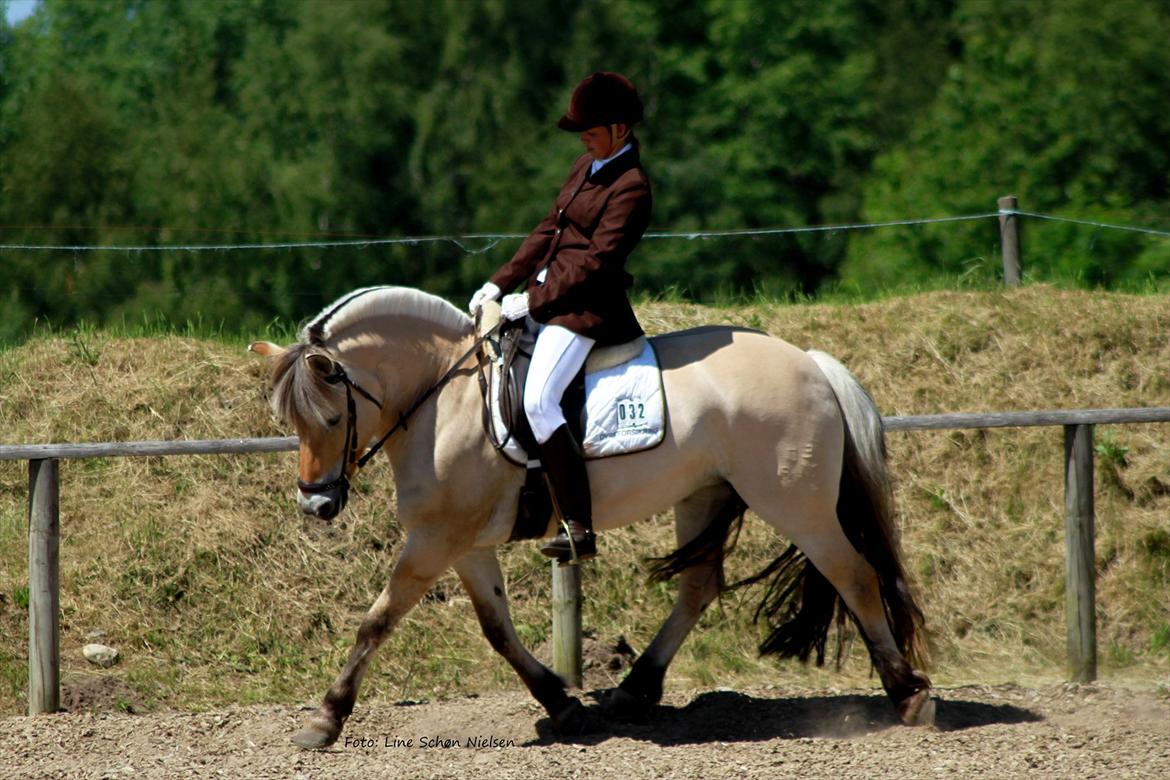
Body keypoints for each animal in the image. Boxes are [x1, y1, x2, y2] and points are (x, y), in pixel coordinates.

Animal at [251, 285, 935, 748]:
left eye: (330, 418)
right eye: (289, 421)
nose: (316, 504)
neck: (443, 400)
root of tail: (810, 362)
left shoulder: (434, 540)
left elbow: (377, 620)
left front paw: (325, 718)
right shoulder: (466, 544)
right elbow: (497, 629)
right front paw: (563, 704)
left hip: (796, 500)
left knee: (854, 575)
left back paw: (908, 695)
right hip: (704, 494)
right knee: (699, 586)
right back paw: (635, 688)